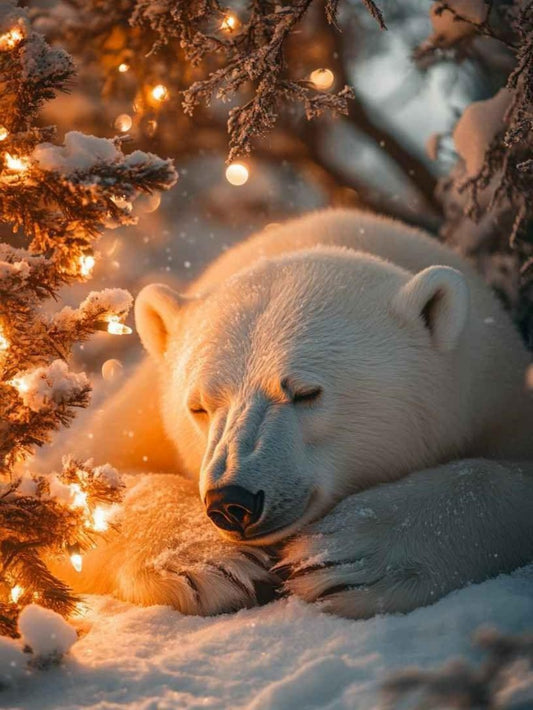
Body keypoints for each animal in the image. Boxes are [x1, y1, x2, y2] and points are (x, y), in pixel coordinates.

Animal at [58, 208, 533, 618]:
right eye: (199, 406)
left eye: (306, 393)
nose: (232, 502)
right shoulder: (139, 413)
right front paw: (208, 562)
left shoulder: (496, 398)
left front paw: (347, 555)